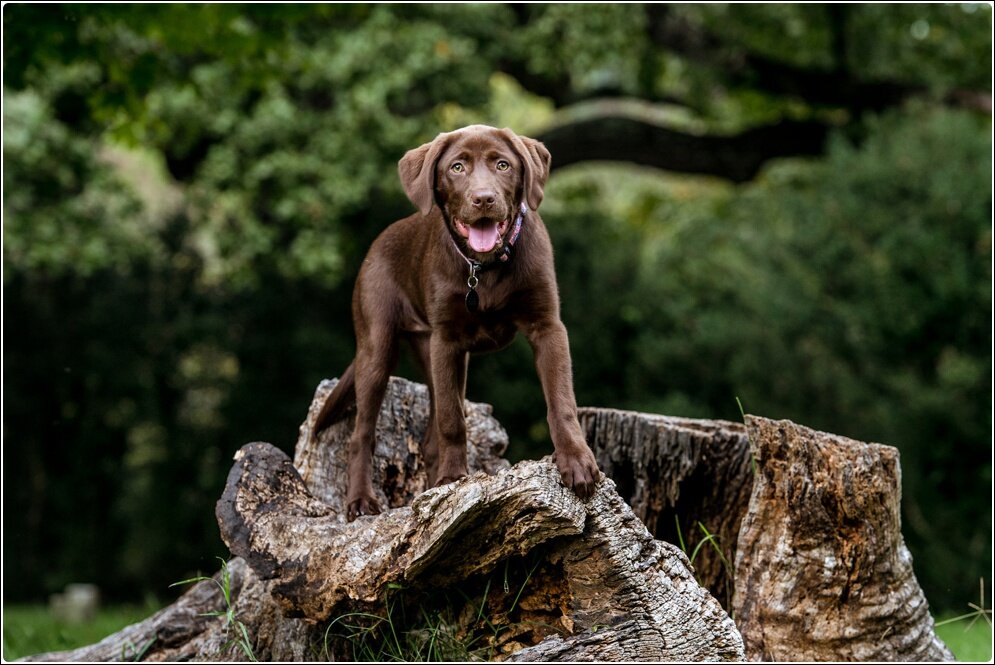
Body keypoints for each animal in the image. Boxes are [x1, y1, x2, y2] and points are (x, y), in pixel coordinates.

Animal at [318, 123, 600, 520]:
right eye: (457, 167)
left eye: (502, 164)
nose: (483, 199)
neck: (485, 268)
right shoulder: (447, 340)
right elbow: (453, 419)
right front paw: (452, 479)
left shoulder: (547, 327)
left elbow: (561, 403)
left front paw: (576, 462)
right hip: (379, 346)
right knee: (363, 433)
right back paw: (361, 500)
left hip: (432, 352)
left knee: (428, 435)